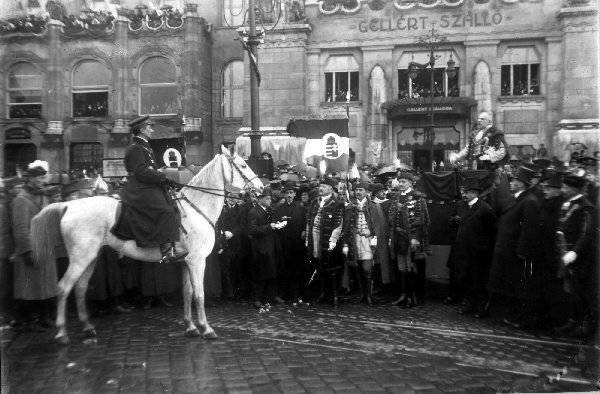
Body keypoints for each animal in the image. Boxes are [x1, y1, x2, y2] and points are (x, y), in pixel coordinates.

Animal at [29, 146, 260, 344]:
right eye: (243, 165)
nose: (260, 187)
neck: (196, 208)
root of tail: (68, 205)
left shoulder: (185, 262)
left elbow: (187, 293)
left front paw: (191, 327)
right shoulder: (197, 261)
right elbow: (199, 294)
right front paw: (206, 328)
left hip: (90, 258)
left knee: (80, 288)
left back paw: (87, 327)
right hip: (80, 258)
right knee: (63, 287)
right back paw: (61, 333)